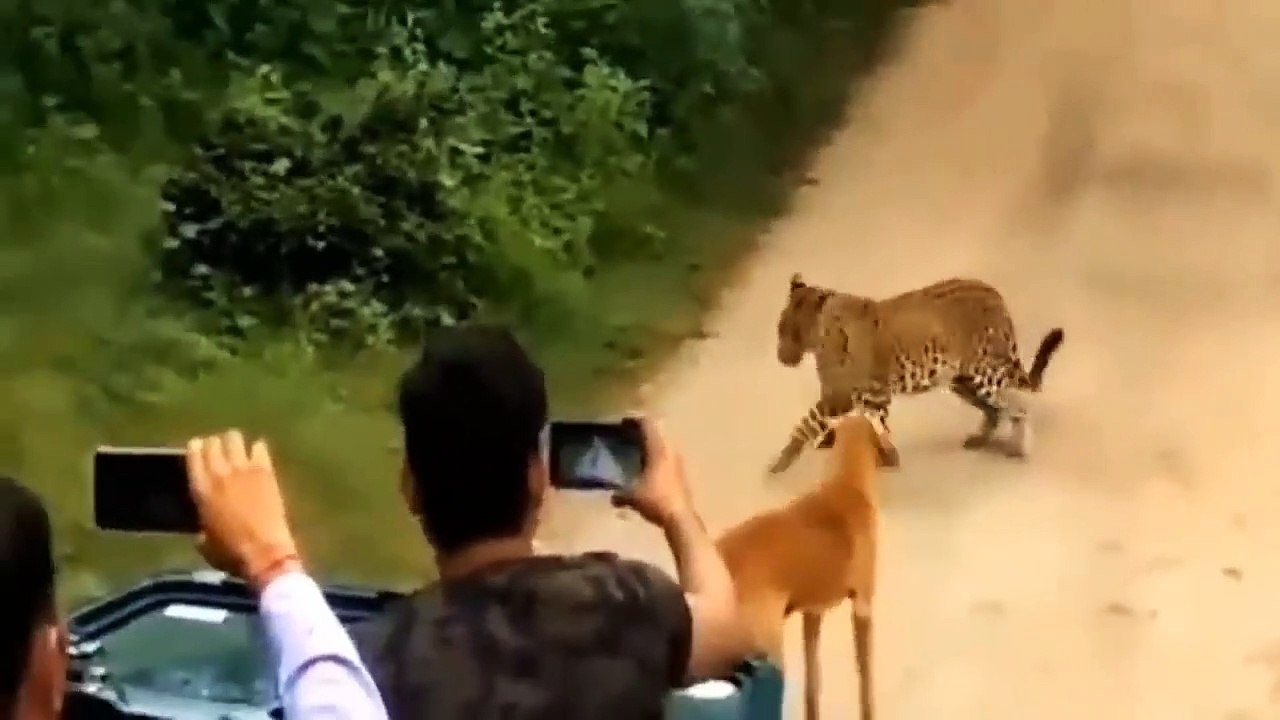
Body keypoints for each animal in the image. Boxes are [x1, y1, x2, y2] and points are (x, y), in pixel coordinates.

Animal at [768, 273, 1065, 474]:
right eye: (780, 330)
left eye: (788, 331)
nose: (781, 357)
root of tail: (993, 293)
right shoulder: (868, 397)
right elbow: (876, 425)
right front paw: (888, 457)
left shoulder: (841, 397)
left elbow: (806, 424)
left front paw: (779, 464)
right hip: (962, 380)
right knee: (995, 410)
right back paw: (980, 439)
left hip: (985, 374)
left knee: (1017, 406)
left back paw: (1020, 449)